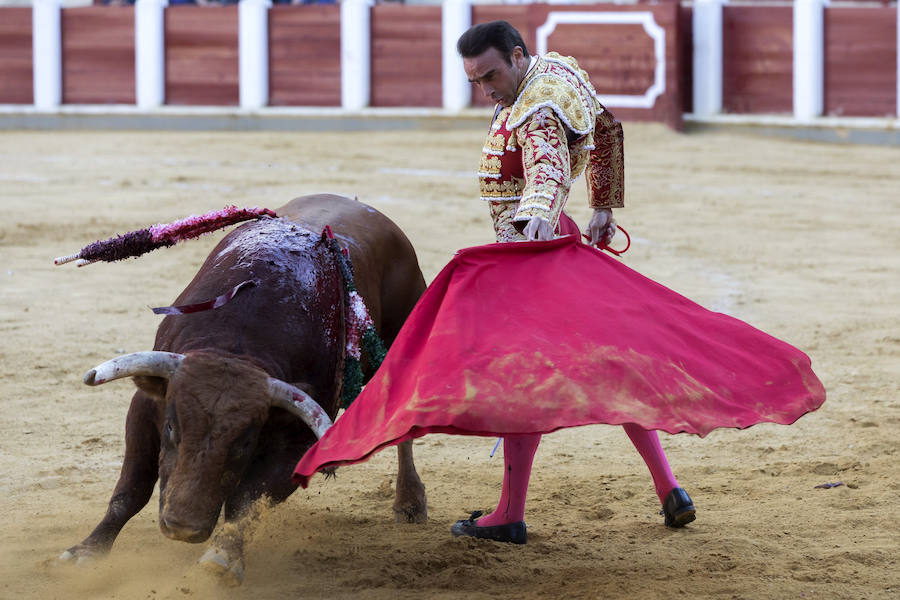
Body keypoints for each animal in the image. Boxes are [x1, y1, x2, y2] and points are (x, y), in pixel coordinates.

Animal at [59, 195, 428, 584]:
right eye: (172, 427)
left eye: (244, 442)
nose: (183, 527)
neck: (236, 344)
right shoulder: (146, 409)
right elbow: (131, 490)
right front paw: (87, 551)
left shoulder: (298, 442)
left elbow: (247, 503)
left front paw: (221, 558)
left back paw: (410, 502)